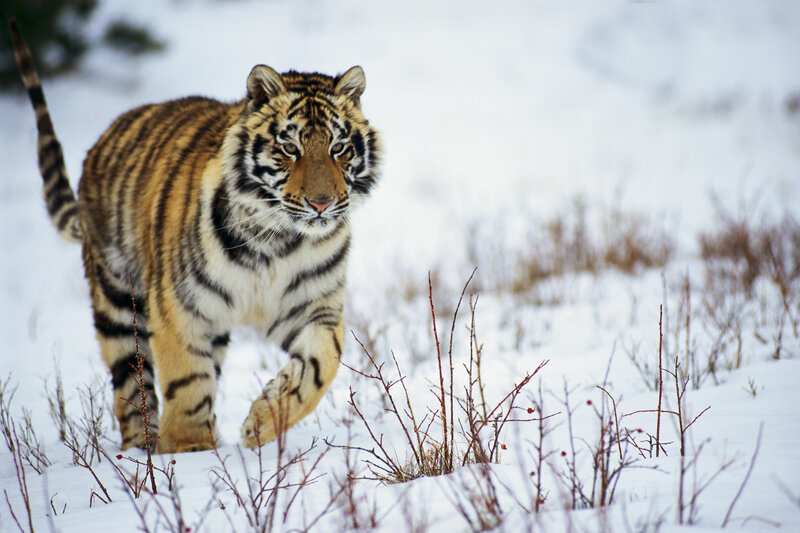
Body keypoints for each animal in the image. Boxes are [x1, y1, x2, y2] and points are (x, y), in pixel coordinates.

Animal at [8, 18, 381, 453]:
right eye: (290, 147)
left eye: (339, 147)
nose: (322, 203)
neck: (277, 240)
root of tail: (100, 142)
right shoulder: (179, 304)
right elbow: (186, 379)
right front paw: (190, 451)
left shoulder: (313, 306)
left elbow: (322, 364)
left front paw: (261, 423)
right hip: (117, 302)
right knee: (131, 386)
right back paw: (142, 451)